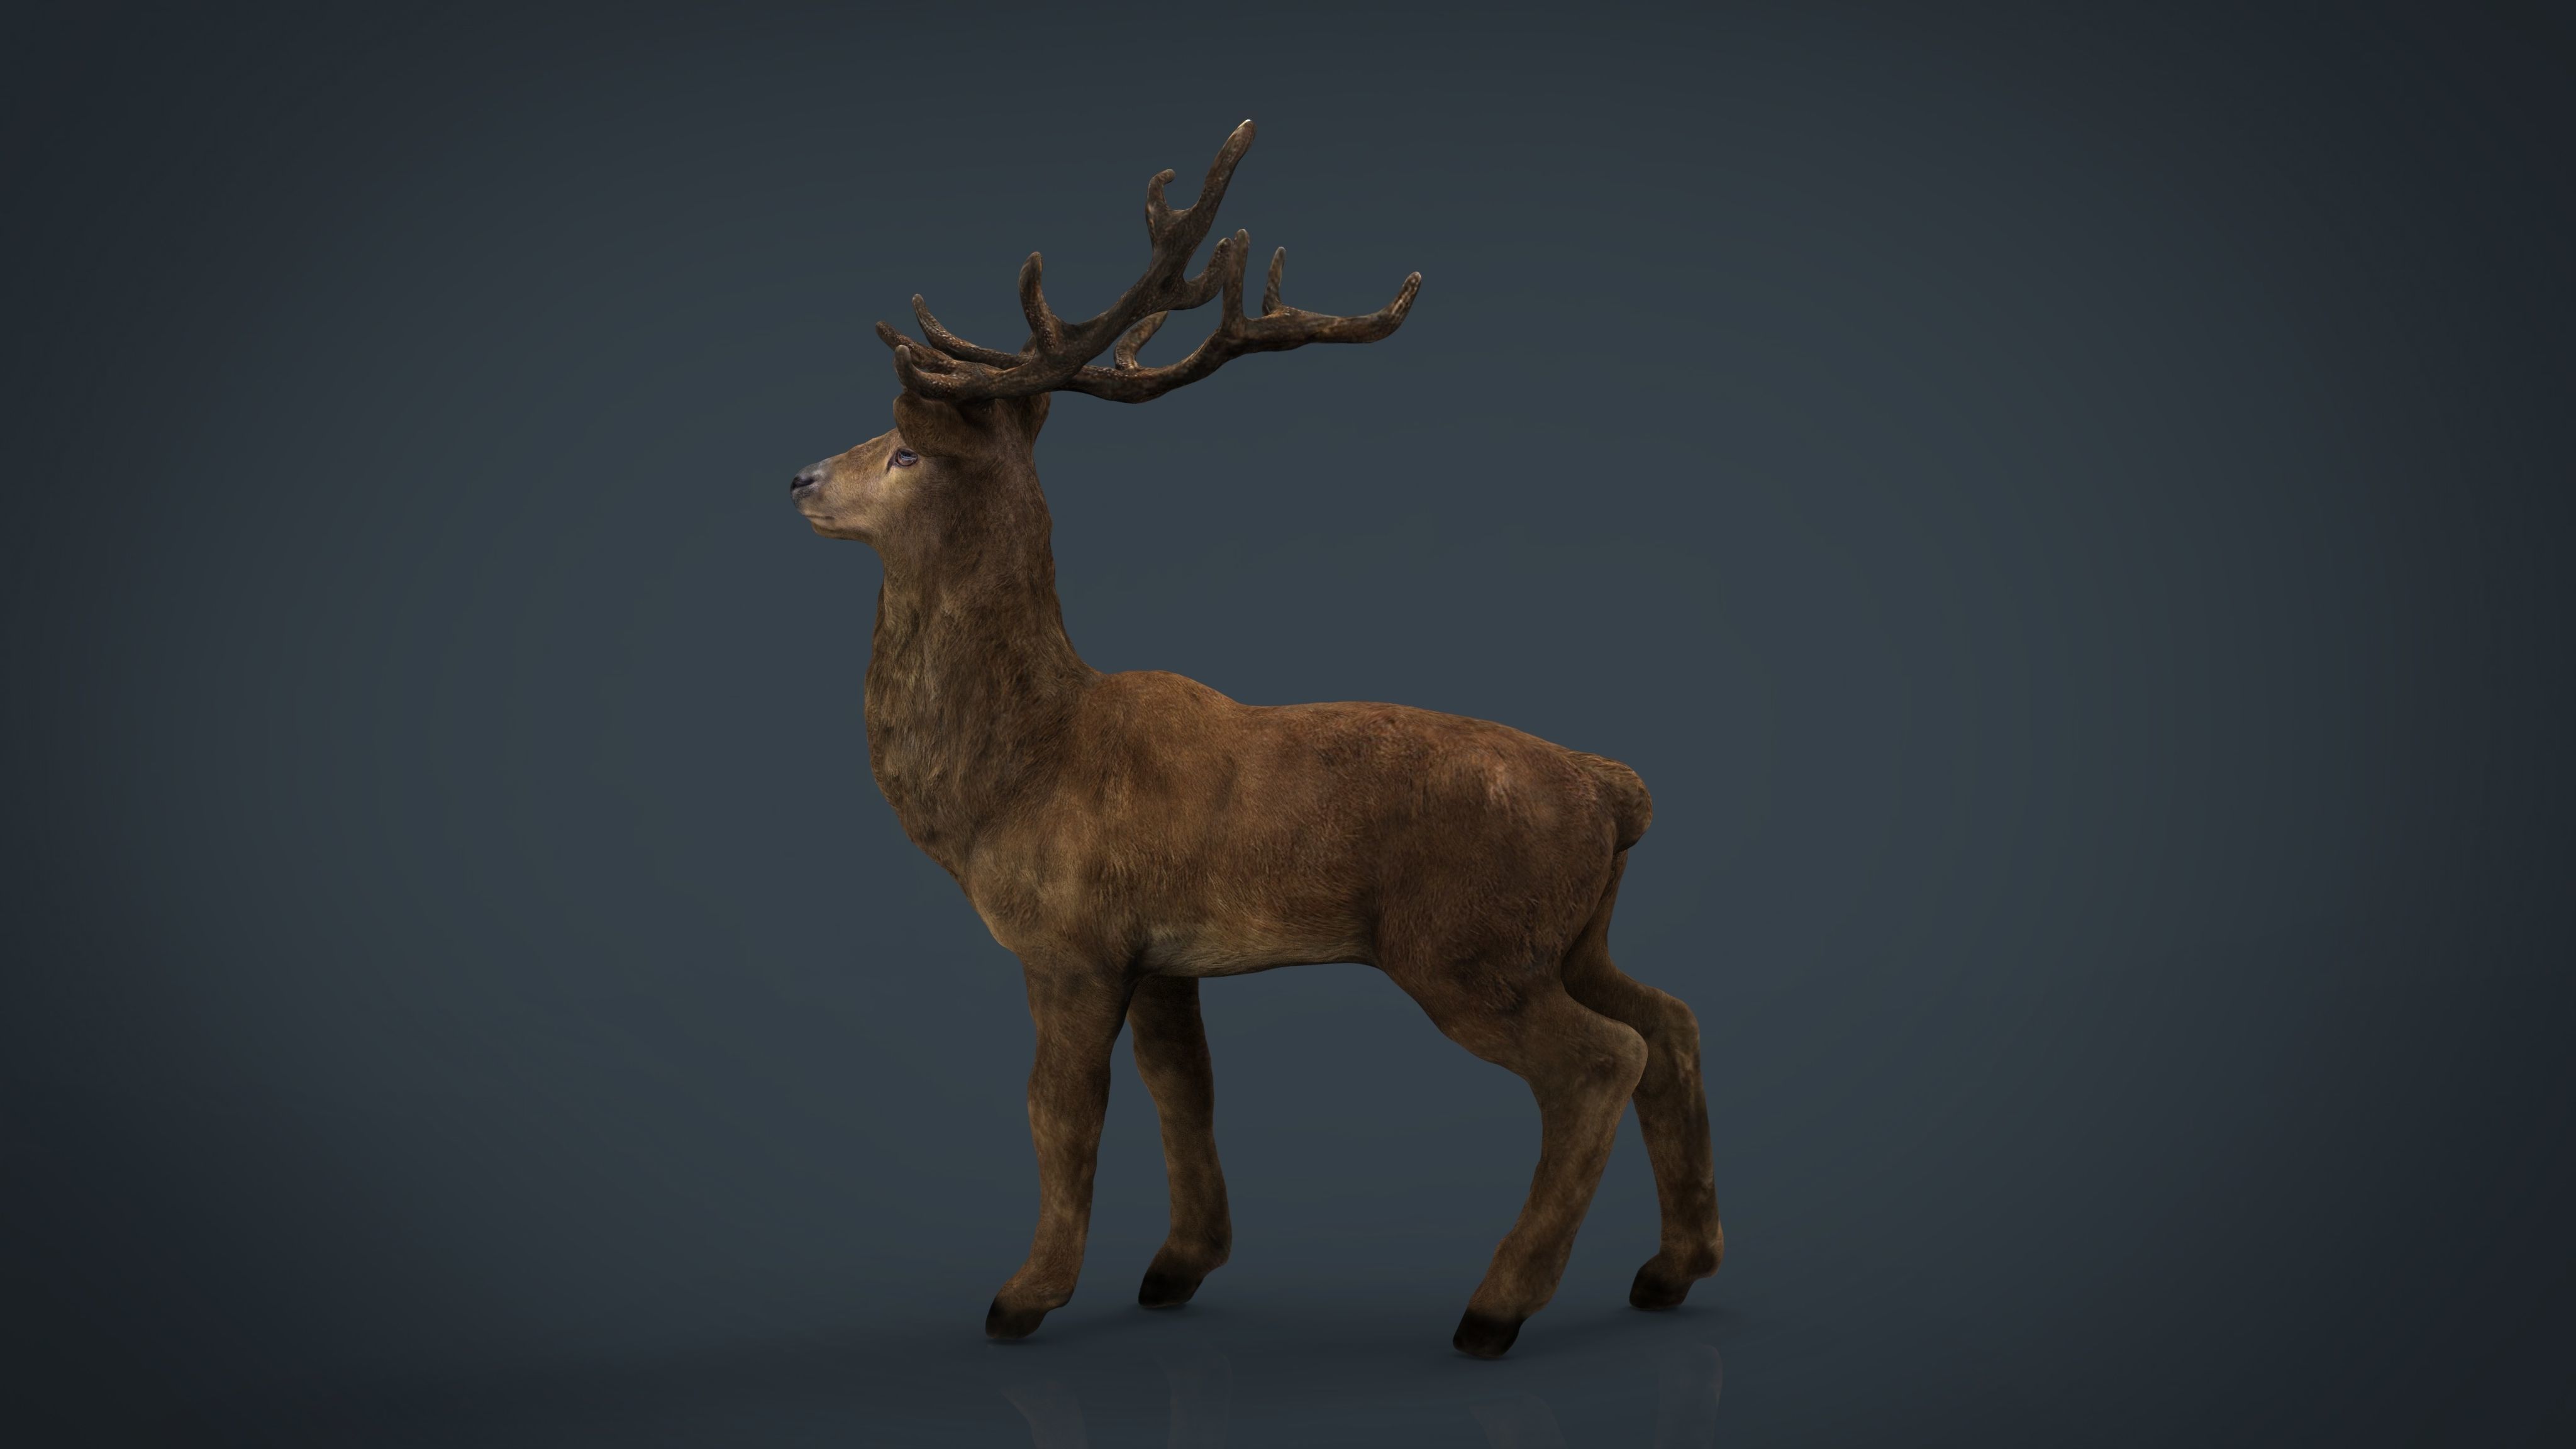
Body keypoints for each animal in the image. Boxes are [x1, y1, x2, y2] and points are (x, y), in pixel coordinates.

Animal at [787, 121, 1722, 1359]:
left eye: (903, 450)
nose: (798, 477)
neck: (1018, 769)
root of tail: (1617, 793)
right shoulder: (1164, 955)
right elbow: (1185, 1093)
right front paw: (1179, 1263)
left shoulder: (1071, 940)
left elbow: (1058, 1115)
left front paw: (1024, 1295)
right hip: (1567, 933)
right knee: (1670, 1020)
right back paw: (1672, 1270)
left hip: (1466, 945)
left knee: (1601, 1061)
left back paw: (1496, 1306)